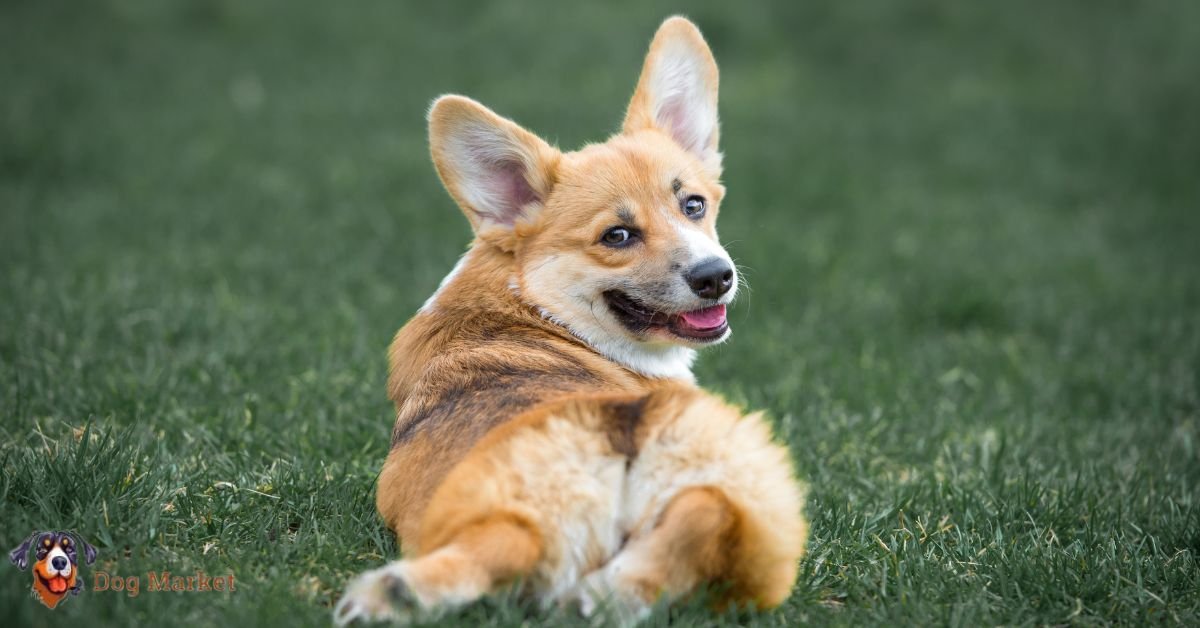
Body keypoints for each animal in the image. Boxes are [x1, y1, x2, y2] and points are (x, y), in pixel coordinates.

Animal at [333, 17, 811, 624]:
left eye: (694, 205)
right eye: (617, 236)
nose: (715, 277)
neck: (532, 302)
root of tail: (612, 436)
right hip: (758, 498)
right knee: (711, 514)